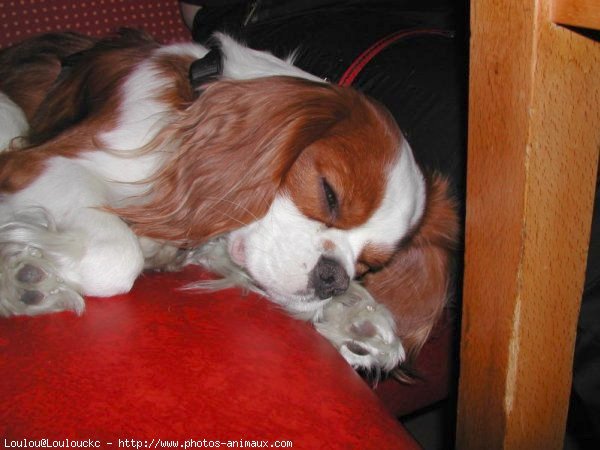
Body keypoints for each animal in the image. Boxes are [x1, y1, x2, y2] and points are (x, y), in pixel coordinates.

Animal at [0, 30, 458, 372]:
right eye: (329, 194)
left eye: (369, 266)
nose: (334, 279)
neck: (190, 106)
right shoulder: (37, 163)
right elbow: (115, 258)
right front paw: (26, 267)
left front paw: (357, 315)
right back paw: (23, 281)